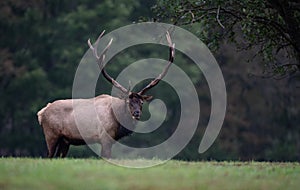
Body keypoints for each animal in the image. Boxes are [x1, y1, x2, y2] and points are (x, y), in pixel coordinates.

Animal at [36, 31, 175, 158]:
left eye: (141, 102)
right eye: (128, 102)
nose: (137, 113)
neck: (118, 119)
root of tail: (41, 112)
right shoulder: (105, 137)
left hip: (65, 140)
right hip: (51, 134)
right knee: (48, 155)